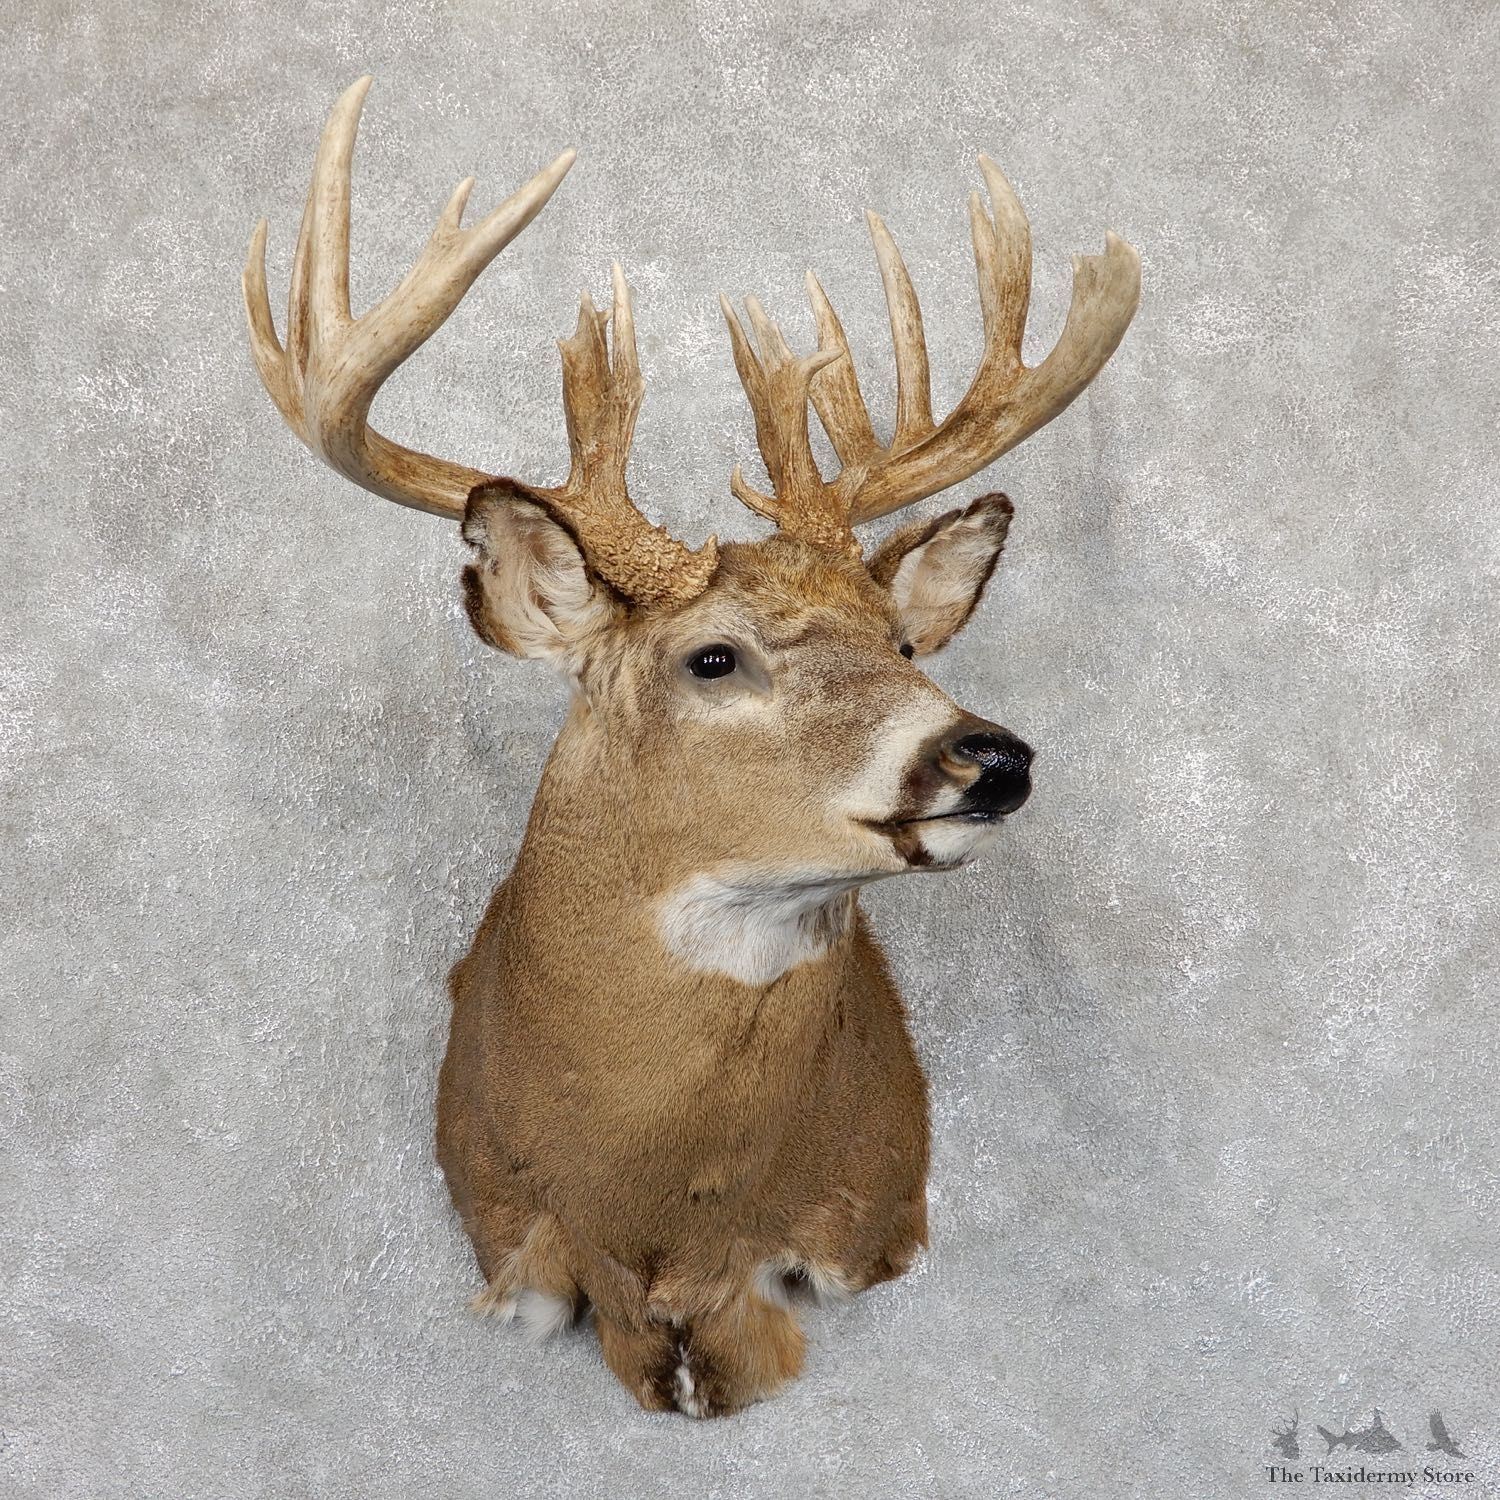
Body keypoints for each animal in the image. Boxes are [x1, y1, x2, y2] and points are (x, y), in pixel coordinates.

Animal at [242, 77, 1139, 1418]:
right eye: (712, 659)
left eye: (902, 643)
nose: (992, 759)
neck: (659, 1211)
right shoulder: (518, 1234)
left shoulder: (849, 1229)